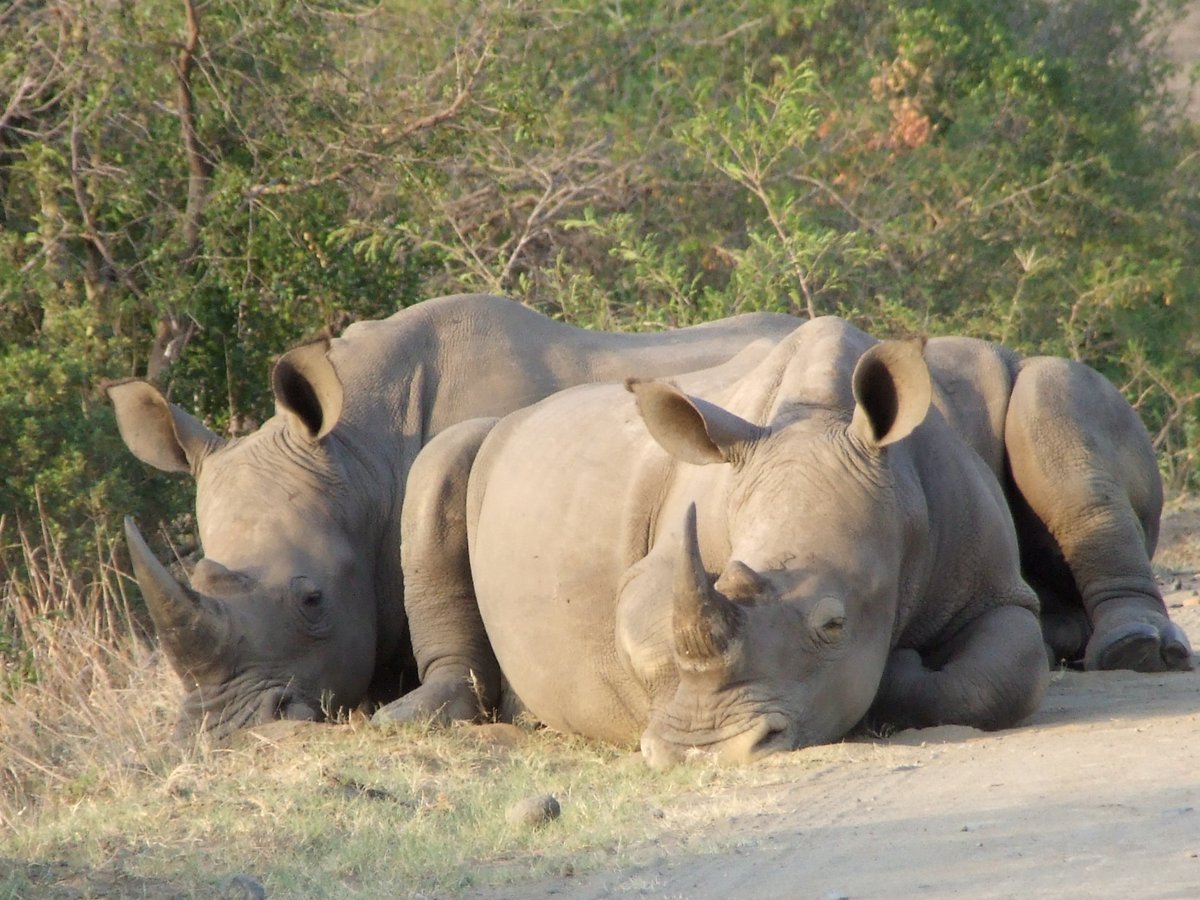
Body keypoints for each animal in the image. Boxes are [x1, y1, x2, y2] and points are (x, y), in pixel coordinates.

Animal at [381, 316, 1056, 763]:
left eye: (834, 624)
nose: (704, 752)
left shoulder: (999, 589)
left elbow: (994, 678)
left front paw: (902, 666)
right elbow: (645, 617)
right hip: (484, 442)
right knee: (440, 464)